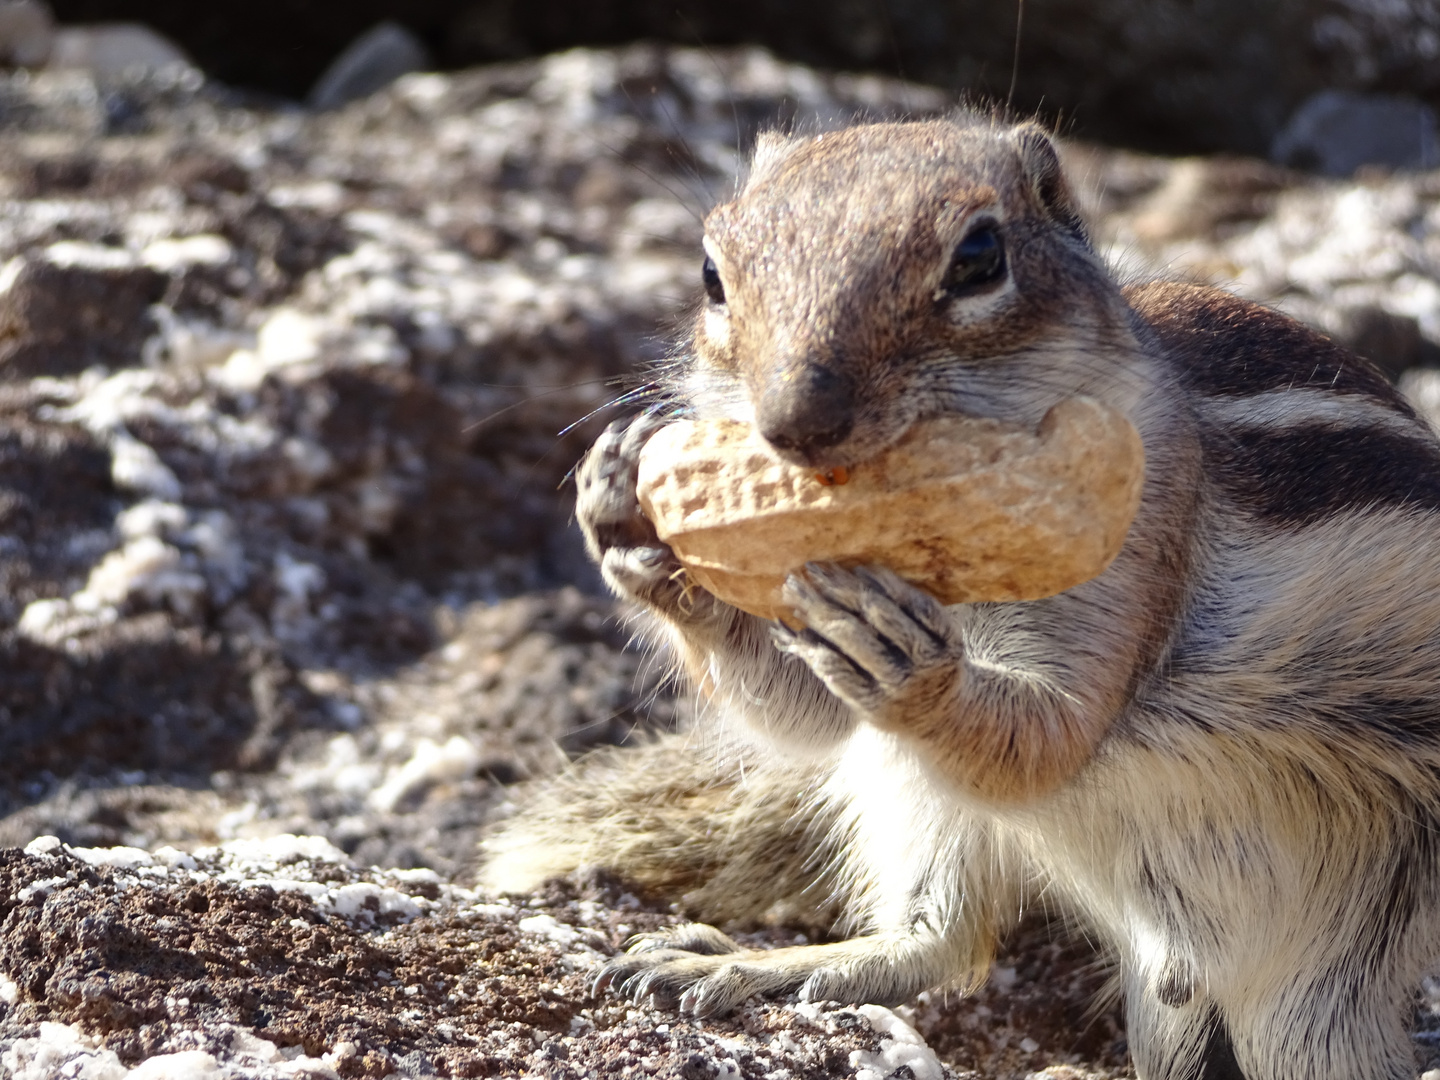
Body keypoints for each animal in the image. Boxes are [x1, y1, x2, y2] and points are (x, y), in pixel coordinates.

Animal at [478, 116, 1440, 1080]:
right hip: (918, 800)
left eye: (979, 260)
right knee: (933, 944)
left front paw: (914, 672)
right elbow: (806, 719)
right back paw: (751, 964)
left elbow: (1053, 732)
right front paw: (627, 522)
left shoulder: (1141, 542)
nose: (795, 423)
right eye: (712, 274)